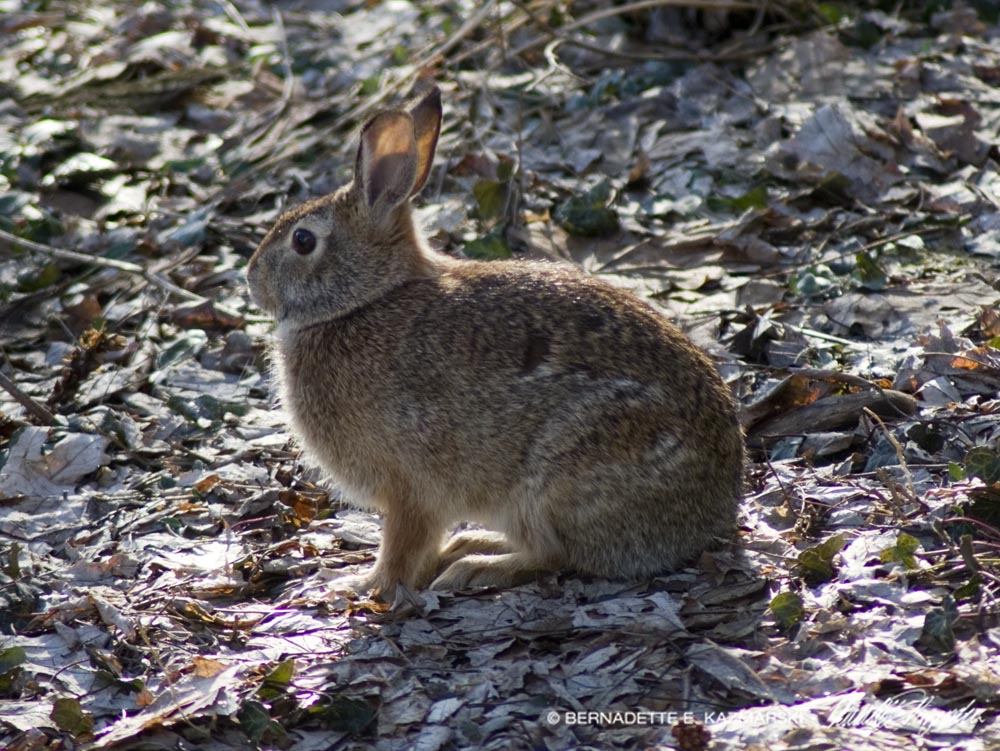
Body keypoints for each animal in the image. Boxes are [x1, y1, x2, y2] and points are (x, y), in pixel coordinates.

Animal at [246, 86, 745, 601]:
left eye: (303, 241)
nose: (251, 280)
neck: (368, 299)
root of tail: (714, 511)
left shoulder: (409, 488)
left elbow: (401, 548)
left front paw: (361, 585)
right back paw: (468, 545)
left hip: (557, 479)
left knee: (554, 556)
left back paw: (475, 566)